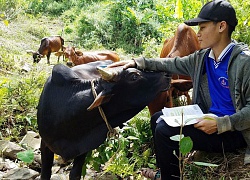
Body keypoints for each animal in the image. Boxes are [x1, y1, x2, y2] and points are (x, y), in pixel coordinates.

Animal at [37, 60, 171, 179]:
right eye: (134, 76)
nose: (167, 74)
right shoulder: (45, 143)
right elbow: (45, 173)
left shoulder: (84, 147)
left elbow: (74, 174)